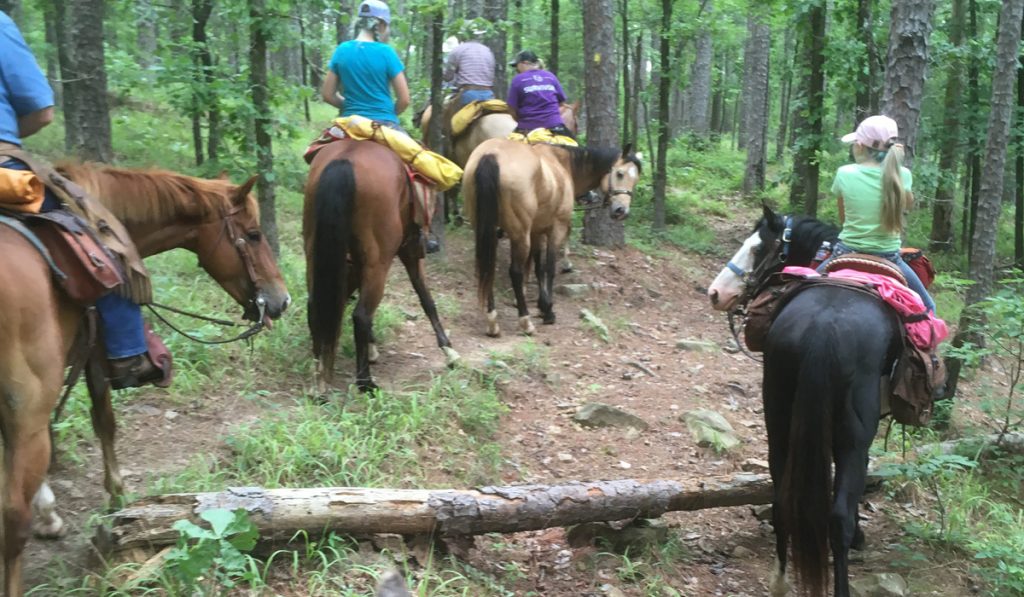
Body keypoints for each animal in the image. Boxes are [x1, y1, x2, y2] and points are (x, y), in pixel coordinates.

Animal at [0, 164, 290, 597]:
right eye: (253, 234)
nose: (281, 300)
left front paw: (49, 512)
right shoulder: (90, 356)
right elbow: (104, 422)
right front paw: (116, 498)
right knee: (12, 520)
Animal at [301, 138, 458, 395]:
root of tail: (345, 159)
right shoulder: (410, 252)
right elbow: (425, 297)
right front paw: (449, 351)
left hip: (316, 254)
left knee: (316, 305)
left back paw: (320, 380)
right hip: (378, 262)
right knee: (361, 315)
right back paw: (365, 382)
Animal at [464, 138, 638, 337]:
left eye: (636, 179)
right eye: (620, 173)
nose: (621, 211)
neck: (562, 165)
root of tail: (491, 155)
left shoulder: (536, 231)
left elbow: (538, 267)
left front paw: (542, 305)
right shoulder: (556, 229)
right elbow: (549, 268)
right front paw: (547, 310)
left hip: (486, 230)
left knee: (487, 267)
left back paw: (492, 321)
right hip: (520, 234)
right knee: (515, 272)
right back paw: (525, 321)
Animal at [708, 206, 901, 597]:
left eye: (757, 248)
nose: (716, 293)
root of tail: (824, 326)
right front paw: (860, 536)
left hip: (779, 416)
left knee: (781, 498)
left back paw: (780, 580)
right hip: (852, 433)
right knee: (838, 516)